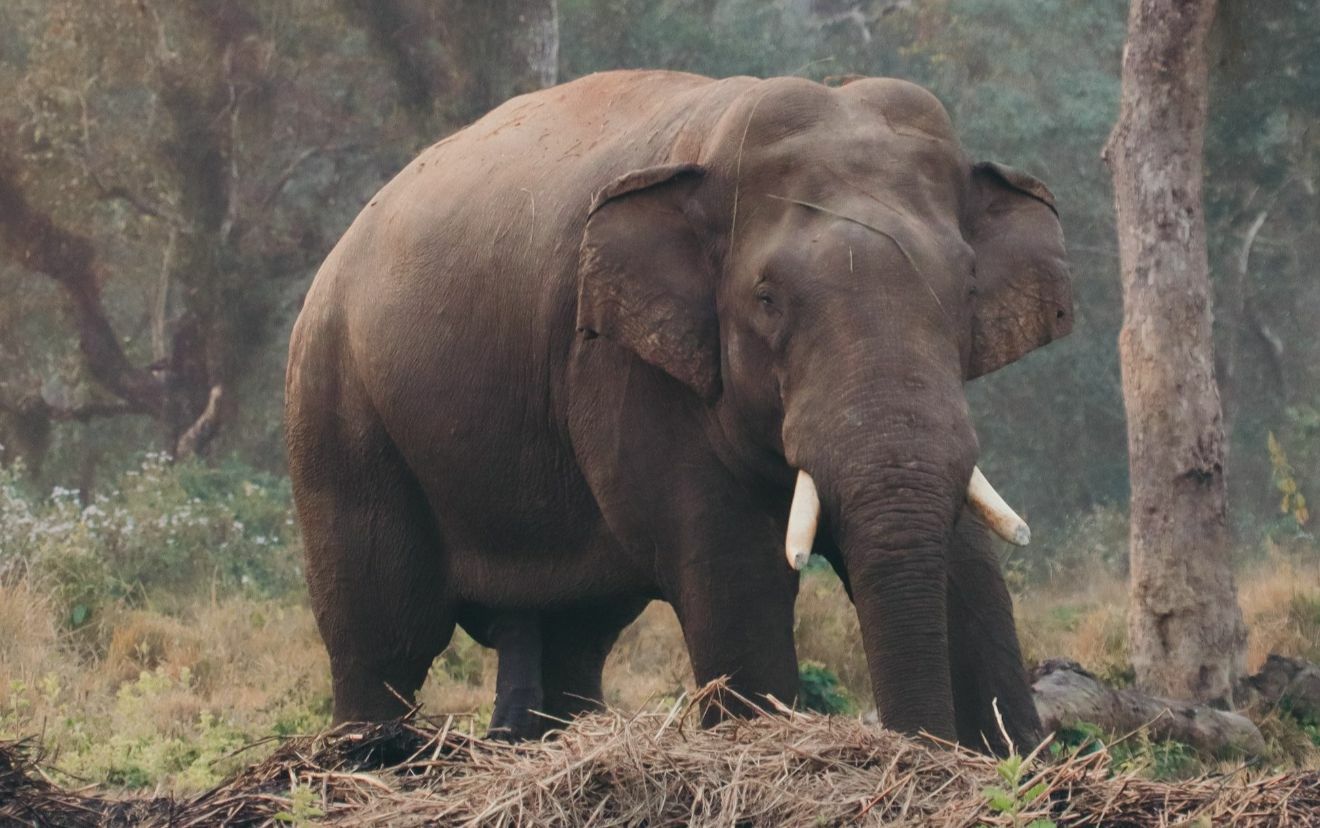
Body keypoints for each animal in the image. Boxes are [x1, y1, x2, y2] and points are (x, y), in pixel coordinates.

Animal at [286, 69, 1071, 750]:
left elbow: (968, 563)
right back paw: (369, 754)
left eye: (967, 286)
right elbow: (734, 570)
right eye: (766, 299)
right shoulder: (624, 365)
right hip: (336, 411)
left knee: (572, 635)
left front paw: (1011, 758)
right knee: (384, 634)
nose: (920, 746)